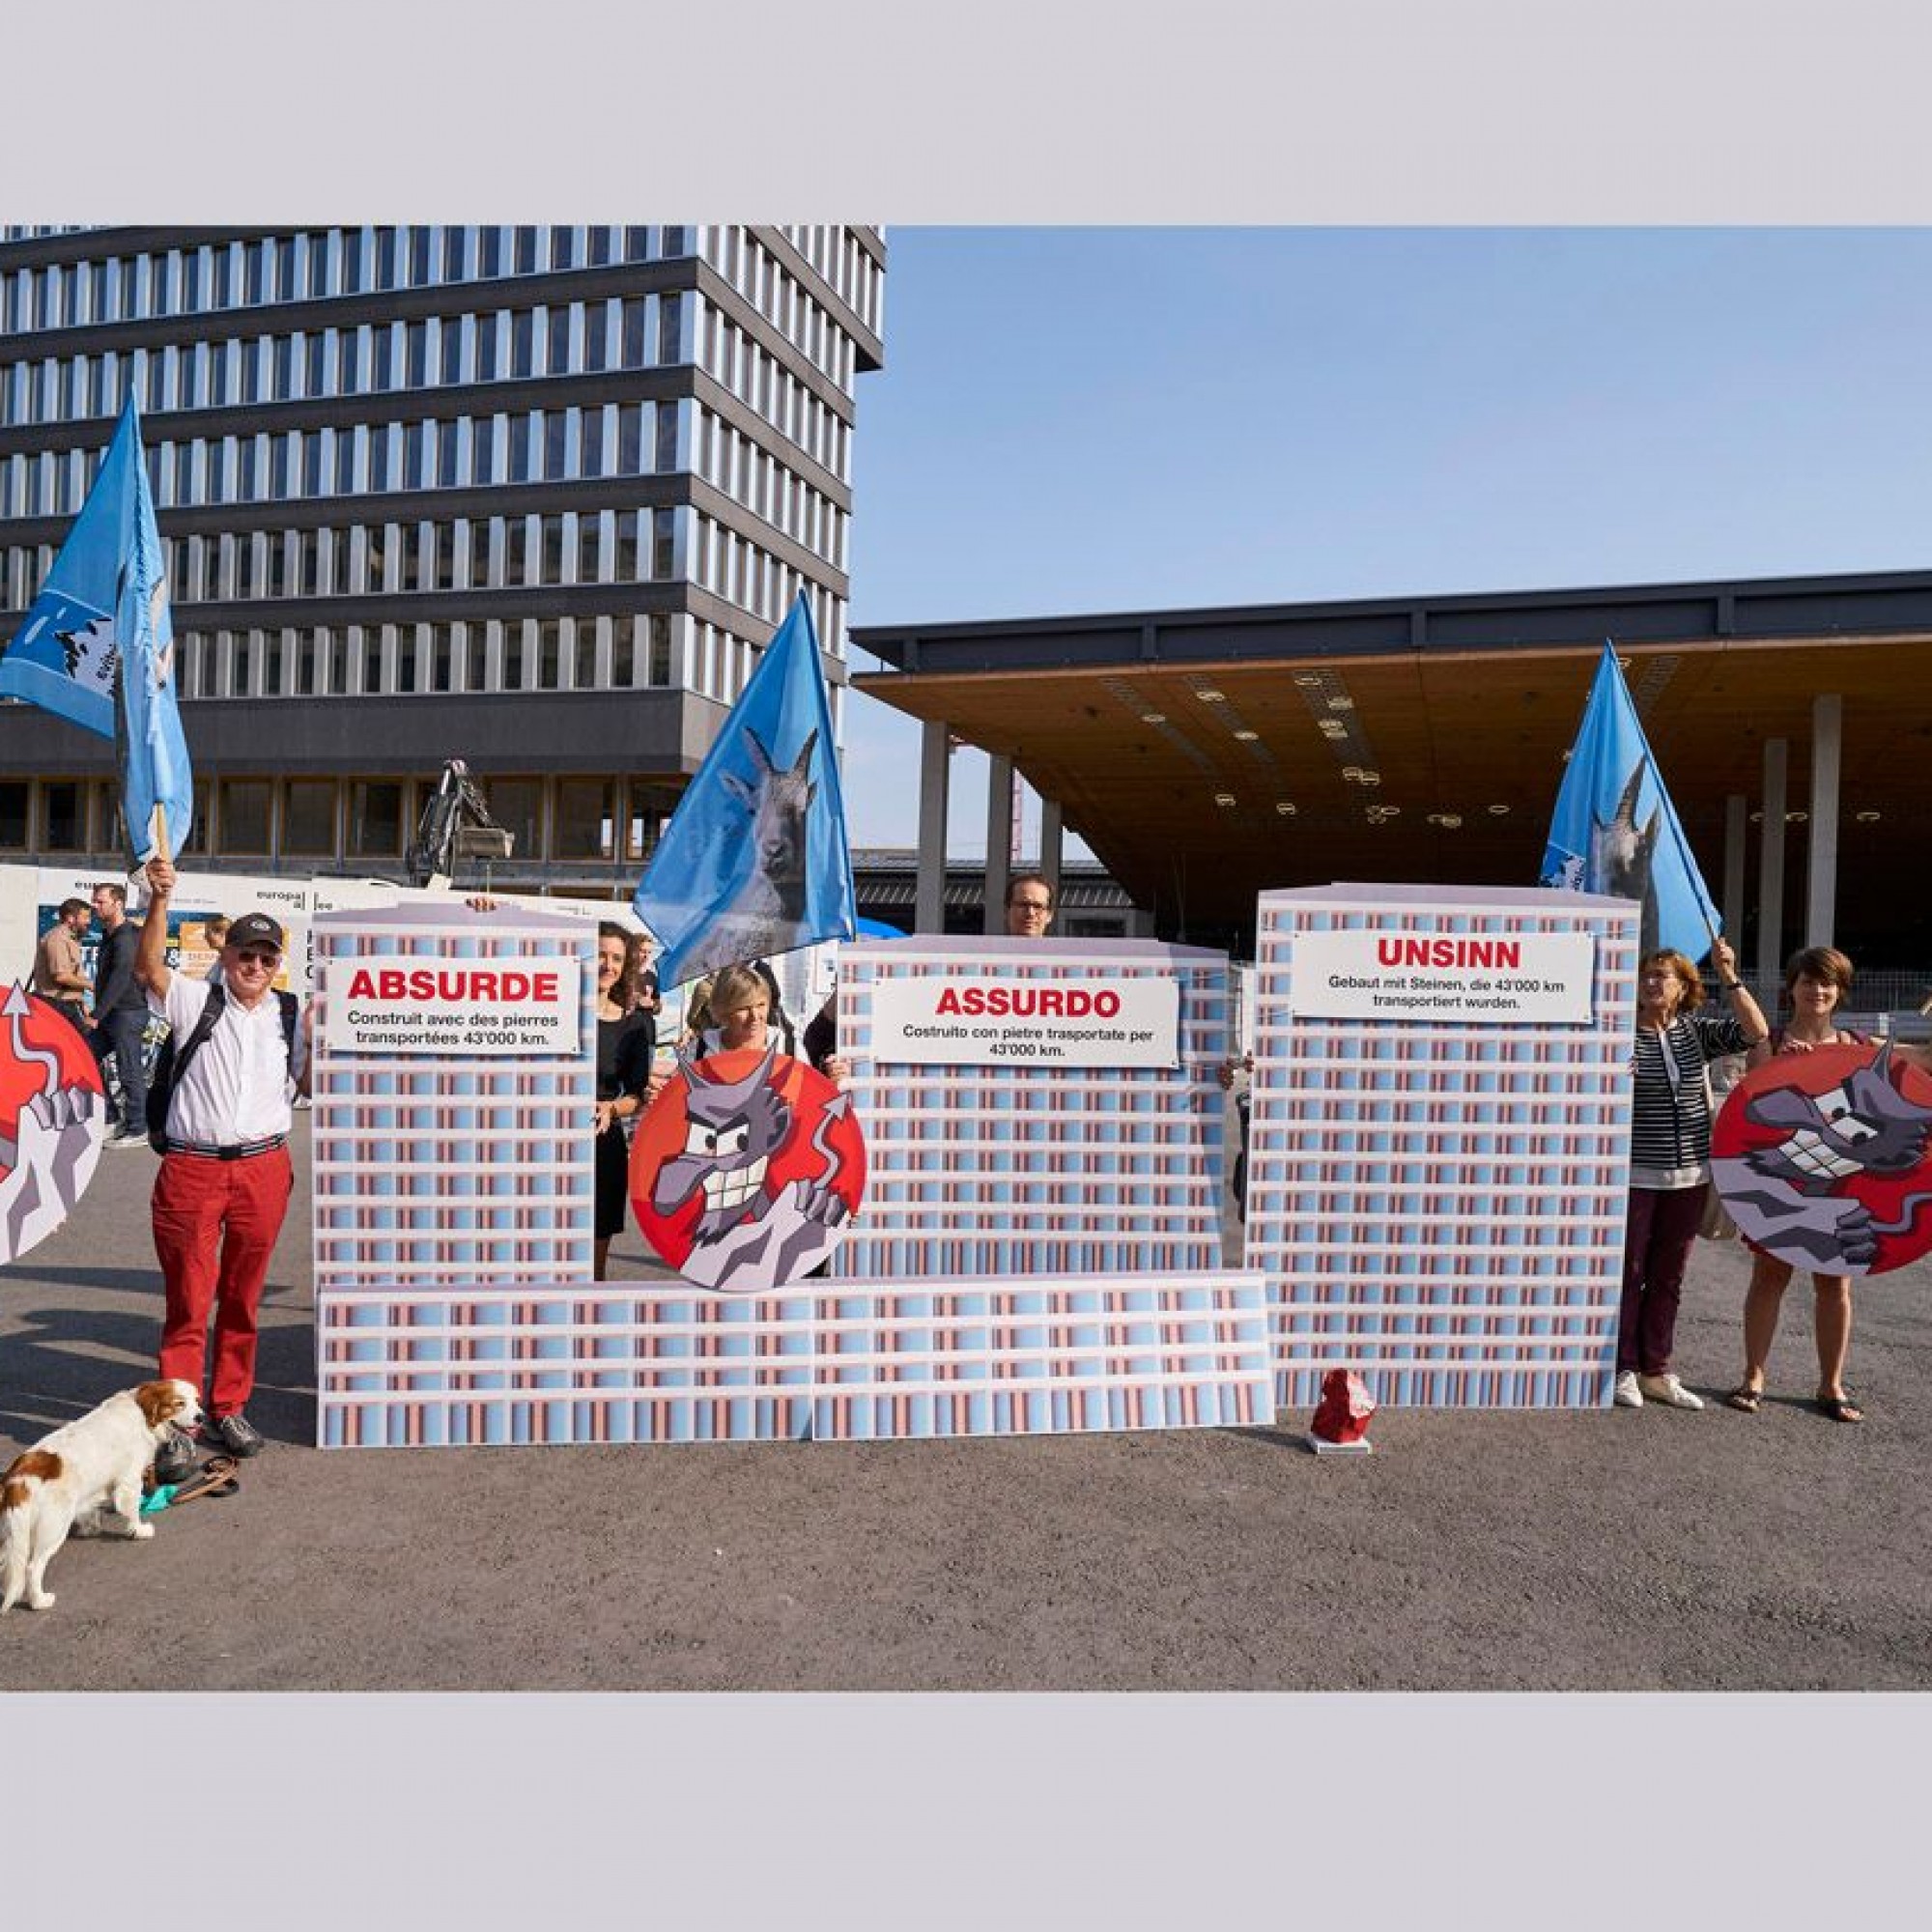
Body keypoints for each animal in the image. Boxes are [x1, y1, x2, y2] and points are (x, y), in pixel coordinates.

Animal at [0, 1383, 200, 1607]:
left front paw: (90, 1527)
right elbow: (132, 1511)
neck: (142, 1413)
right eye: (179, 1403)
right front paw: (139, 1530)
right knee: (33, 1567)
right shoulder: (129, 1481)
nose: (201, 1417)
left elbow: (91, 1509)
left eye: (196, 1400)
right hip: (53, 1528)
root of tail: (18, 1478)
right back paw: (39, 1601)